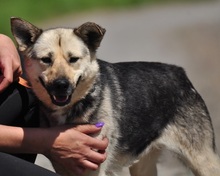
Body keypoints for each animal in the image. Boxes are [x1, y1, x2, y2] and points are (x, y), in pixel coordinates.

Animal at [10, 16, 220, 176]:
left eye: (73, 59)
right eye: (46, 60)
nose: (61, 85)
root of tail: (179, 72)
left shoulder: (94, 168)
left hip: (202, 161)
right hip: (142, 165)